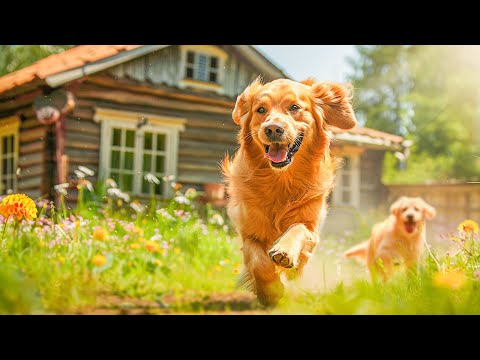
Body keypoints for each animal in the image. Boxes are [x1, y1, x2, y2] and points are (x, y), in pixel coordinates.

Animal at [222, 76, 356, 306]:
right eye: (260, 109)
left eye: (294, 107)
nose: (273, 129)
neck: (281, 182)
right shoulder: (248, 232)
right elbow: (257, 261)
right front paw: (270, 291)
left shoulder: (311, 227)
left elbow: (298, 228)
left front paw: (284, 250)